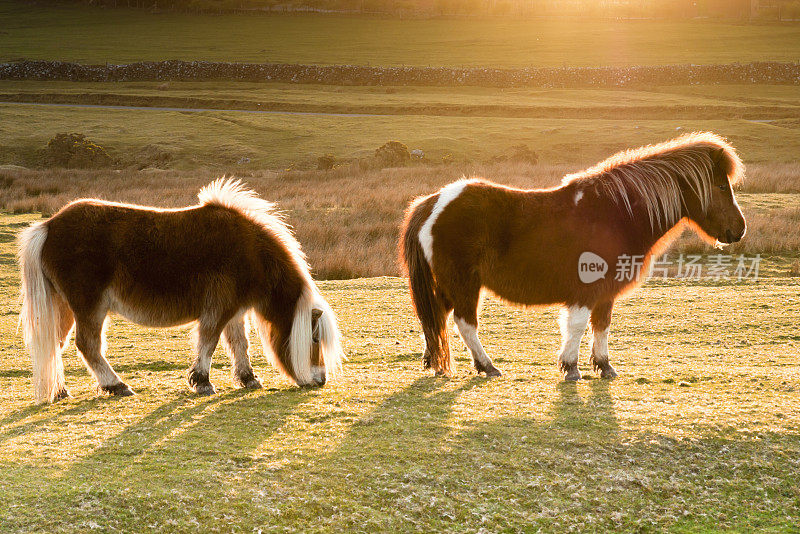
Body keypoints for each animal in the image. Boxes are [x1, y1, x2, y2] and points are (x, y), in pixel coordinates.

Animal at [18, 178, 342, 404]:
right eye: (314, 337)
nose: (321, 380)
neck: (250, 252)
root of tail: (48, 226)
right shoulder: (218, 310)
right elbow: (208, 342)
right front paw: (203, 382)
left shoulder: (234, 312)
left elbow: (239, 345)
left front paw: (248, 379)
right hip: (90, 307)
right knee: (88, 346)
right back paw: (117, 386)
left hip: (64, 307)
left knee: (55, 345)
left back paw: (60, 391)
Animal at [404, 132, 748, 384]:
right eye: (720, 185)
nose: (739, 230)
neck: (614, 214)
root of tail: (433, 202)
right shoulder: (586, 289)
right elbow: (579, 325)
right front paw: (571, 367)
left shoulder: (606, 292)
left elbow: (601, 325)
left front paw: (604, 366)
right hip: (463, 283)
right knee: (465, 323)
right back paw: (486, 366)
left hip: (449, 284)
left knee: (436, 316)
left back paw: (435, 361)